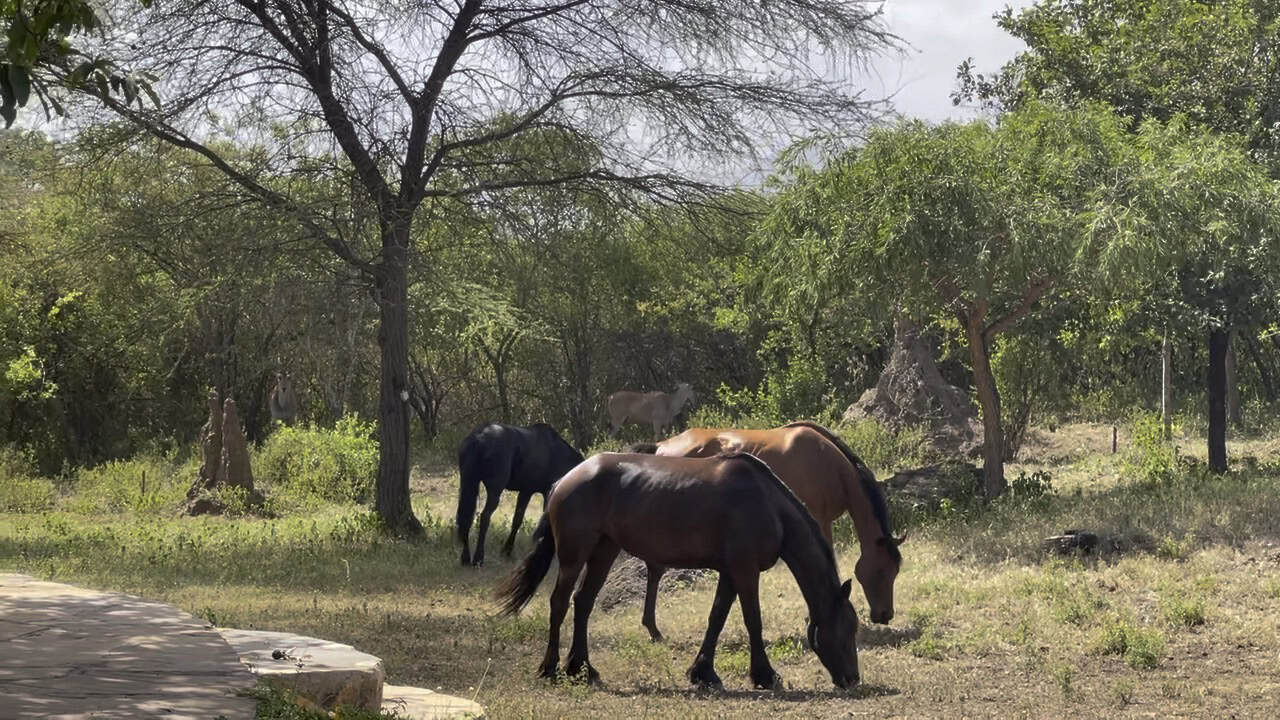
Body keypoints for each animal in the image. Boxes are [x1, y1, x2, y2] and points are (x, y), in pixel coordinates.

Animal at [456, 422, 584, 566]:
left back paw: (465, 558)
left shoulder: (529, 492)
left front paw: (507, 550)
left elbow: (518, 520)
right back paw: (478, 558)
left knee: (466, 518)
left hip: (468, 483)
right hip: (494, 489)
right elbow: (528, 520)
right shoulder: (532, 491)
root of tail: (479, 437)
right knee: (485, 517)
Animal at [496, 451, 860, 690]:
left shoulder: (730, 572)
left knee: (583, 602)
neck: (769, 505)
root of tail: (564, 480)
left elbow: (717, 618)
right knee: (559, 602)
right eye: (847, 629)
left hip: (604, 550)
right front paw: (764, 675)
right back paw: (550, 668)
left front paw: (704, 673)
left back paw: (582, 667)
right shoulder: (745, 571)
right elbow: (752, 620)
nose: (853, 679)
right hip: (575, 554)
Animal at [633, 421, 903, 640]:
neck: (829, 464)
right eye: (881, 571)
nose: (885, 614)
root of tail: (660, 447)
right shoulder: (819, 521)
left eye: (896, 571)